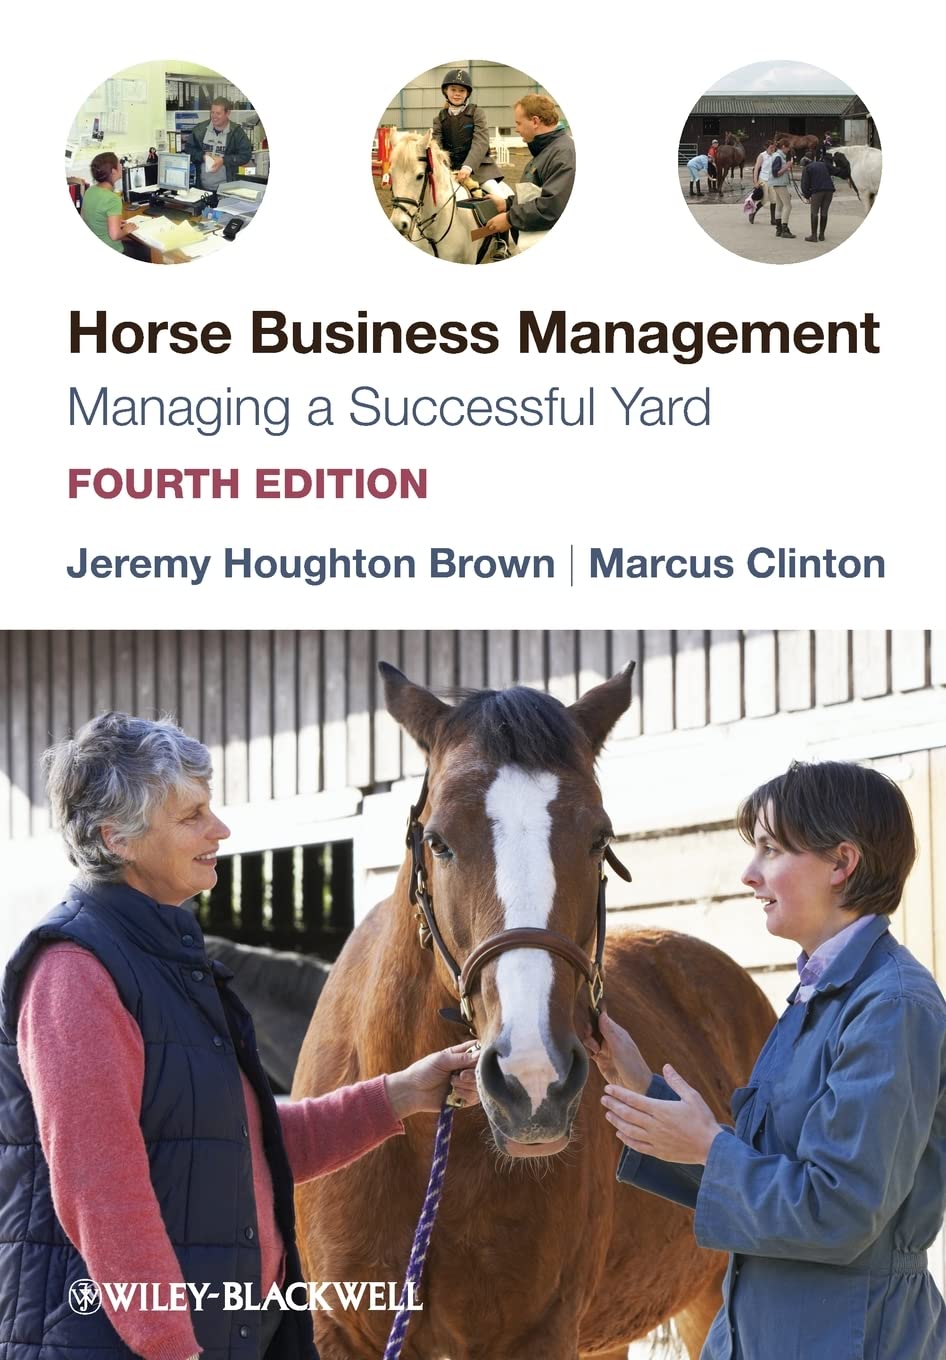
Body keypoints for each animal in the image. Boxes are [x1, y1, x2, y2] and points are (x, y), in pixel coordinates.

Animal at [293, 664, 776, 1360]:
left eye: (599, 838)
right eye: (437, 840)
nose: (532, 1079)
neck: (422, 1147)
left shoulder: (537, 1333)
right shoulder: (341, 1333)